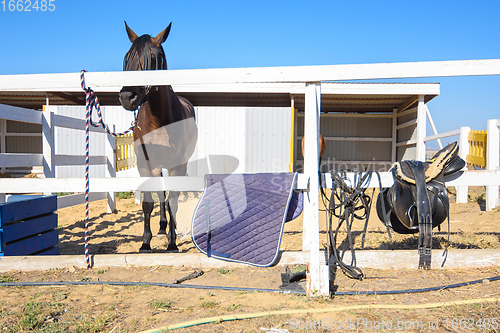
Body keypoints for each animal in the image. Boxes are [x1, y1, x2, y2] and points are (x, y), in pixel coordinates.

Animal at [118, 21, 197, 252]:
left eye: (153, 58)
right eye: (127, 57)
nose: (127, 96)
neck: (158, 122)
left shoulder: (177, 166)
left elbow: (173, 201)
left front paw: (172, 243)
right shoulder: (145, 166)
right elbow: (148, 203)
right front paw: (146, 242)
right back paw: (162, 228)